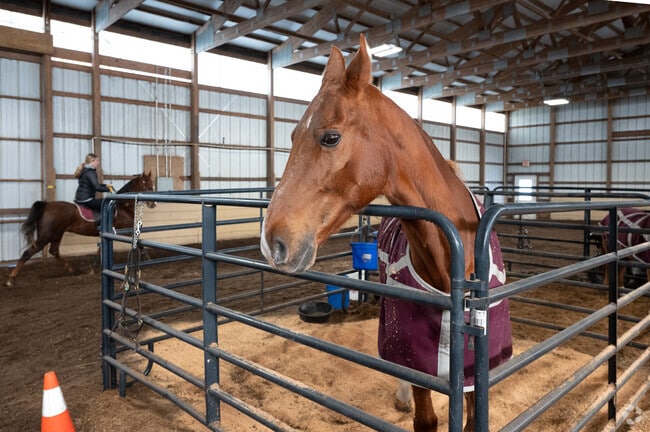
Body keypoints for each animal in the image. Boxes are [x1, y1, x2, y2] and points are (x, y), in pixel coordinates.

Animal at [5, 171, 155, 287]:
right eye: (146, 186)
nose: (153, 204)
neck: (121, 205)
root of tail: (47, 205)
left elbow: (100, 250)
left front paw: (92, 268)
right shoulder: (126, 229)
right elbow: (138, 242)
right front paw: (148, 258)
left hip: (57, 234)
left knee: (54, 251)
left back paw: (71, 269)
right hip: (46, 235)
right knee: (28, 252)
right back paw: (11, 279)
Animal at [260, 34, 511, 432]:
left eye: (330, 137)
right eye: (294, 134)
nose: (272, 242)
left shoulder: (475, 372)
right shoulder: (417, 353)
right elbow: (425, 417)